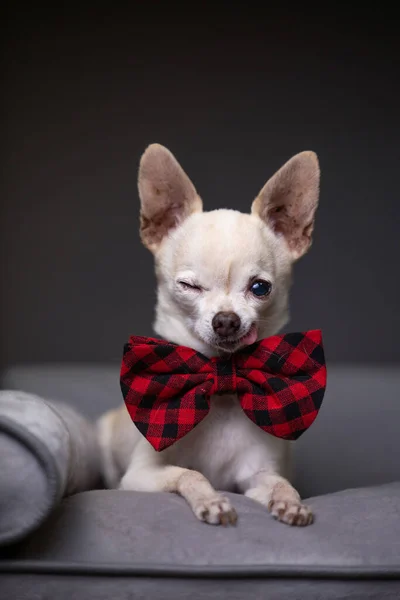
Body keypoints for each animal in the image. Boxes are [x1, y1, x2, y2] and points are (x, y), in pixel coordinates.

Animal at [98, 143, 320, 528]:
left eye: (260, 288)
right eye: (189, 286)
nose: (226, 320)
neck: (222, 389)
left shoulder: (258, 474)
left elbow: (280, 484)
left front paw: (290, 503)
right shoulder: (141, 475)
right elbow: (190, 474)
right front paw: (211, 501)